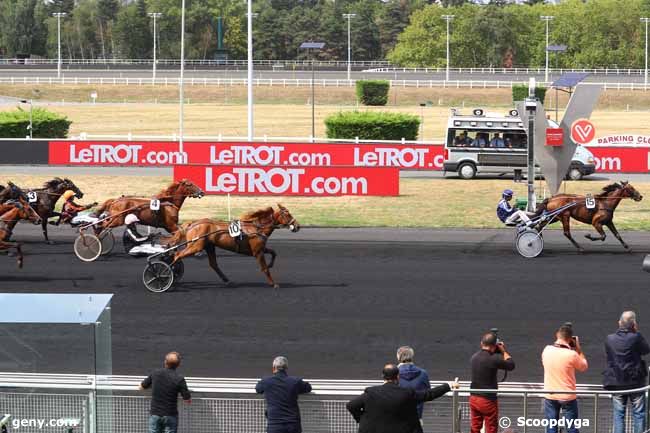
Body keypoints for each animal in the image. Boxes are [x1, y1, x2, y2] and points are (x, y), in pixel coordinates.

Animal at [163, 204, 298, 288]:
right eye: (288, 214)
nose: (297, 226)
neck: (256, 228)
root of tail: (193, 224)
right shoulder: (257, 252)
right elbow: (264, 268)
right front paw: (273, 283)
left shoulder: (260, 248)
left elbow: (274, 252)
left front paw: (271, 264)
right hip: (195, 246)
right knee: (177, 255)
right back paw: (168, 272)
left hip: (209, 246)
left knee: (213, 264)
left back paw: (227, 280)